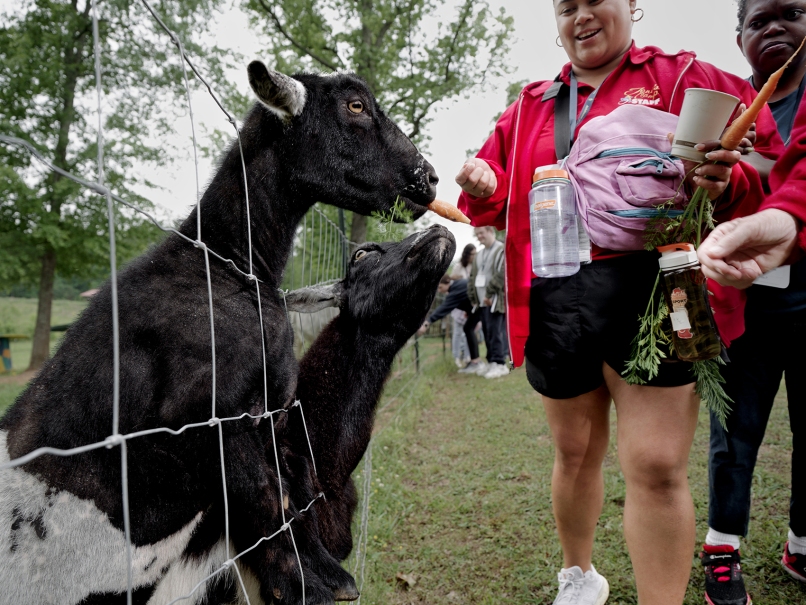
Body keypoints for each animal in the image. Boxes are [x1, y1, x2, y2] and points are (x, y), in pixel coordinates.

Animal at [0, 63, 438, 604]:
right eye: (355, 105)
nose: (428, 179)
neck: (226, 262)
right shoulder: (214, 414)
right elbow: (266, 502)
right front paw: (311, 585)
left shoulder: (270, 412)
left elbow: (286, 492)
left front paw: (326, 572)